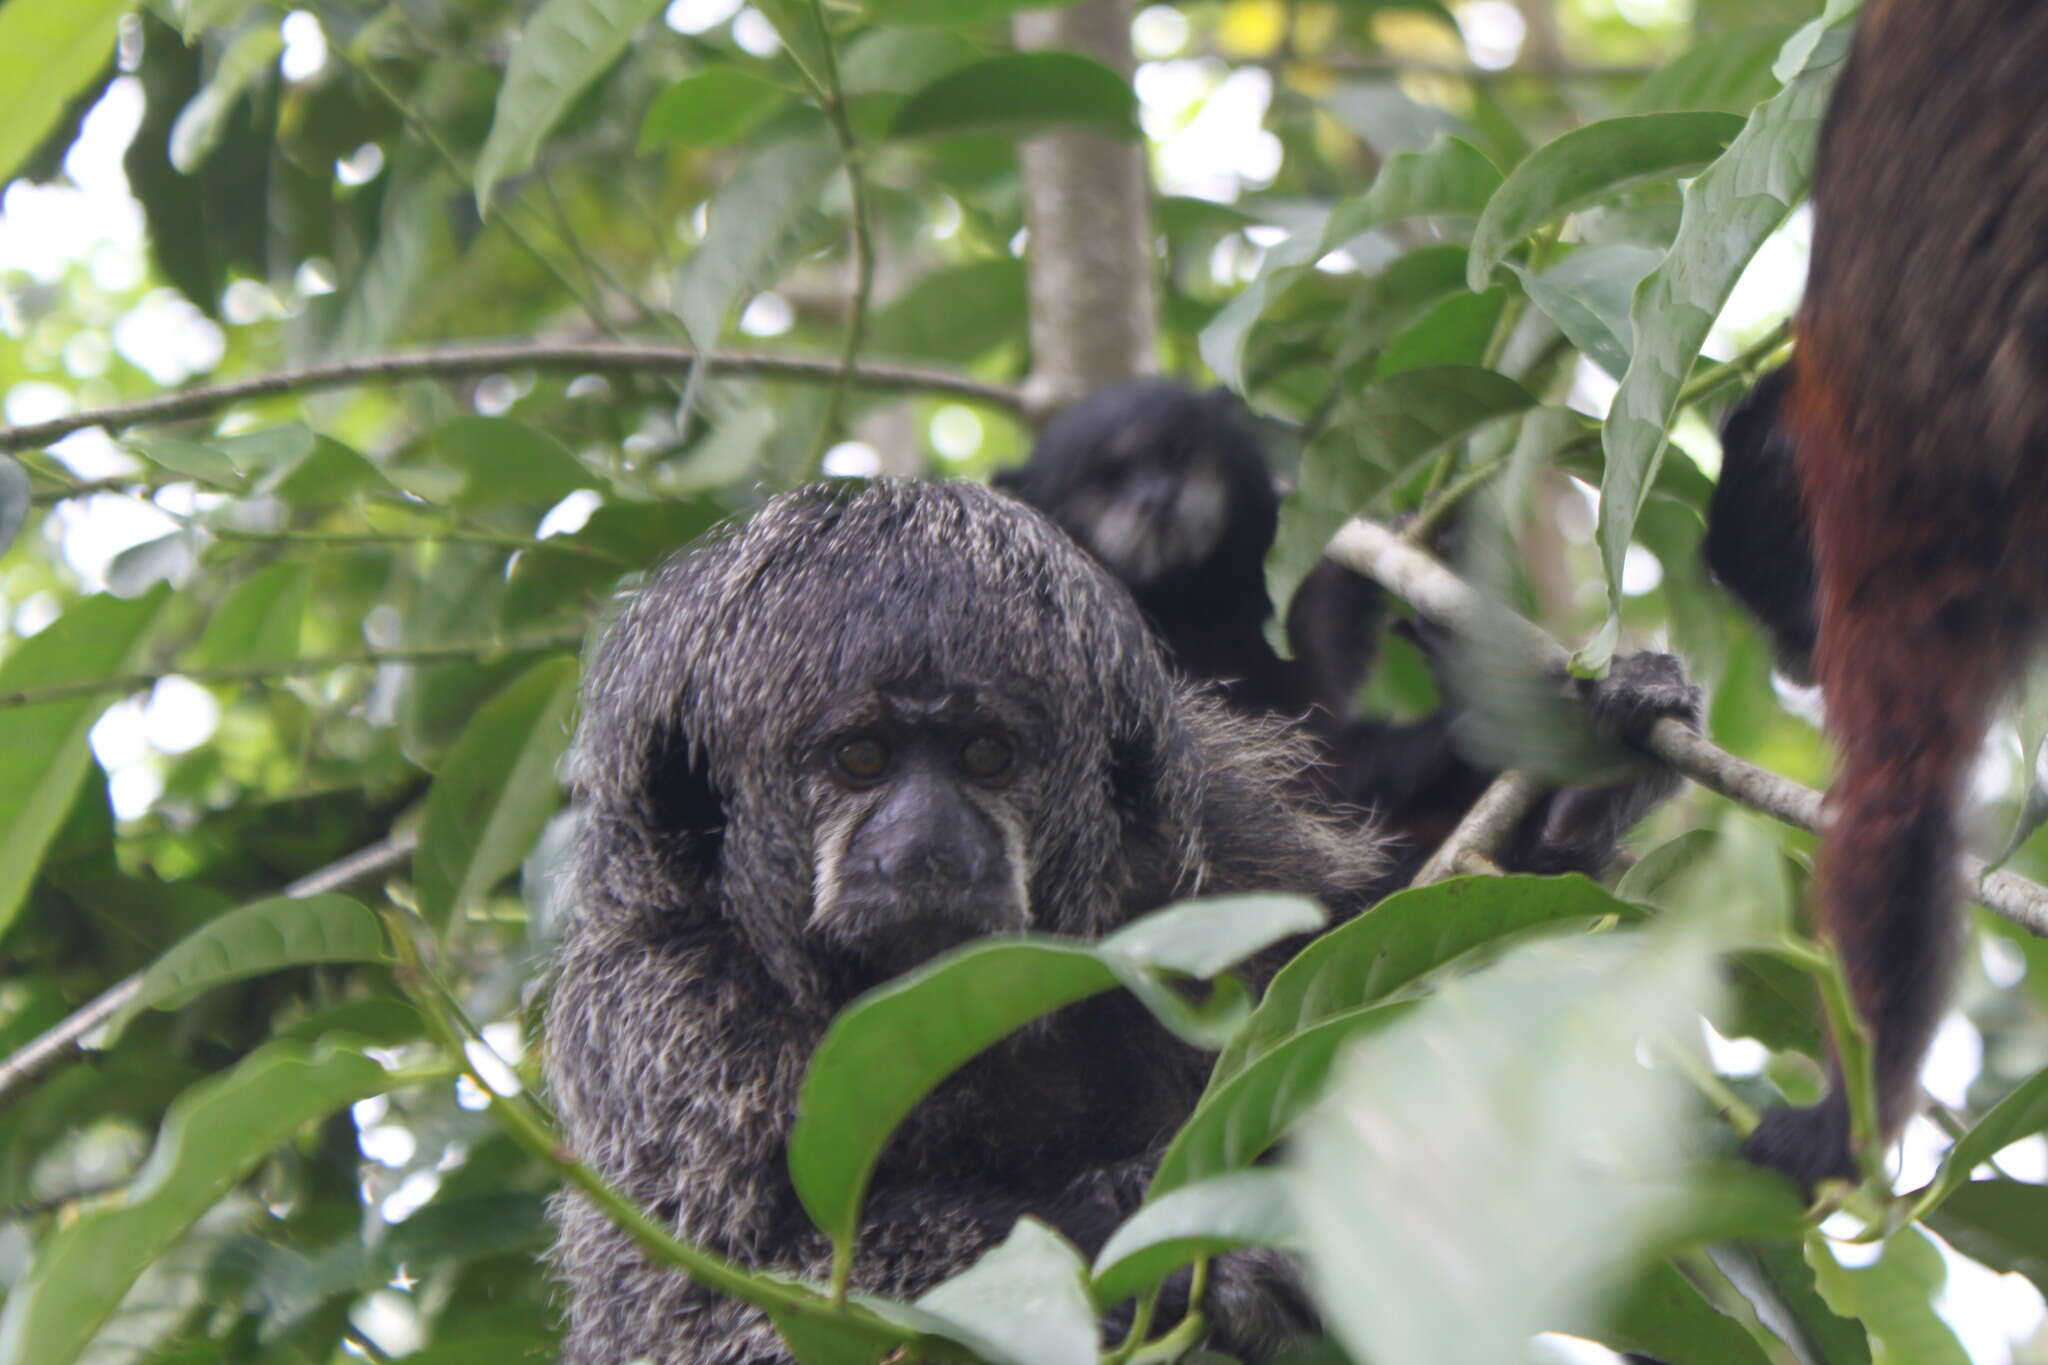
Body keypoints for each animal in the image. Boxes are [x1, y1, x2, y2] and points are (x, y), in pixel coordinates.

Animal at [548, 482, 1376, 1365]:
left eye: (985, 755)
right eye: (862, 758)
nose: (927, 843)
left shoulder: (1237, 876)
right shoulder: (661, 1010)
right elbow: (683, 1313)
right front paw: (1132, 1230)